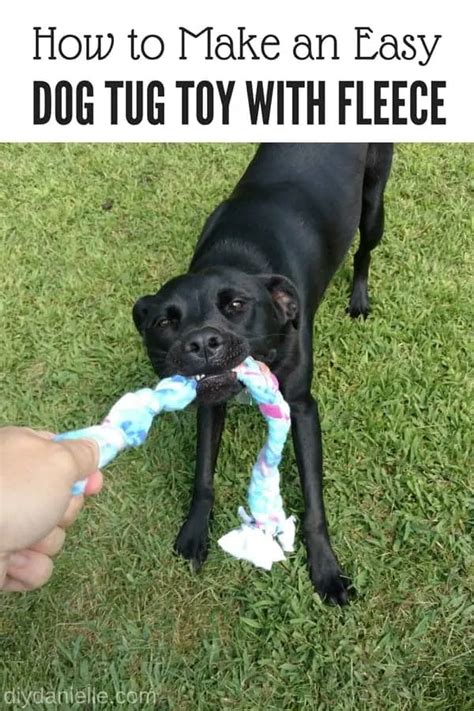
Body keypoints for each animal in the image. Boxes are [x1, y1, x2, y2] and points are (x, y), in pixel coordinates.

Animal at [133, 143, 393, 605]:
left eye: (237, 305)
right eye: (165, 322)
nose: (202, 343)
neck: (239, 253)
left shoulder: (303, 408)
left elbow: (313, 501)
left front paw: (325, 569)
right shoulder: (210, 404)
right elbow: (203, 473)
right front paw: (194, 533)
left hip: (373, 204)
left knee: (364, 251)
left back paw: (359, 297)